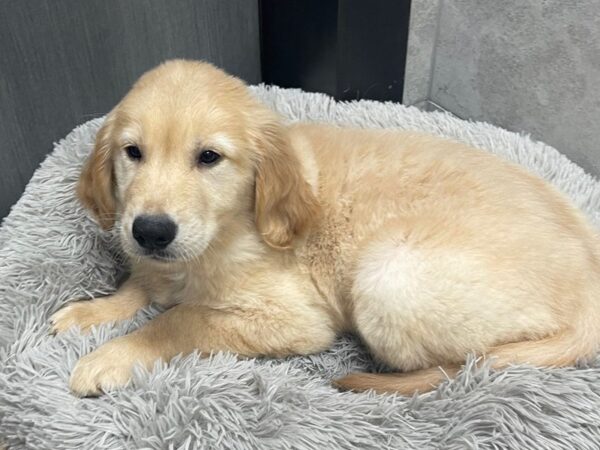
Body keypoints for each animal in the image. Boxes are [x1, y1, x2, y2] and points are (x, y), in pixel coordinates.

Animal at [50, 58, 600, 396]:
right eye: (132, 152)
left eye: (209, 157)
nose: (151, 231)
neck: (230, 229)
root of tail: (589, 303)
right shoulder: (156, 260)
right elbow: (141, 284)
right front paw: (89, 311)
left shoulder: (293, 319)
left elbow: (180, 319)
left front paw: (113, 355)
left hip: (389, 277)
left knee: (466, 365)